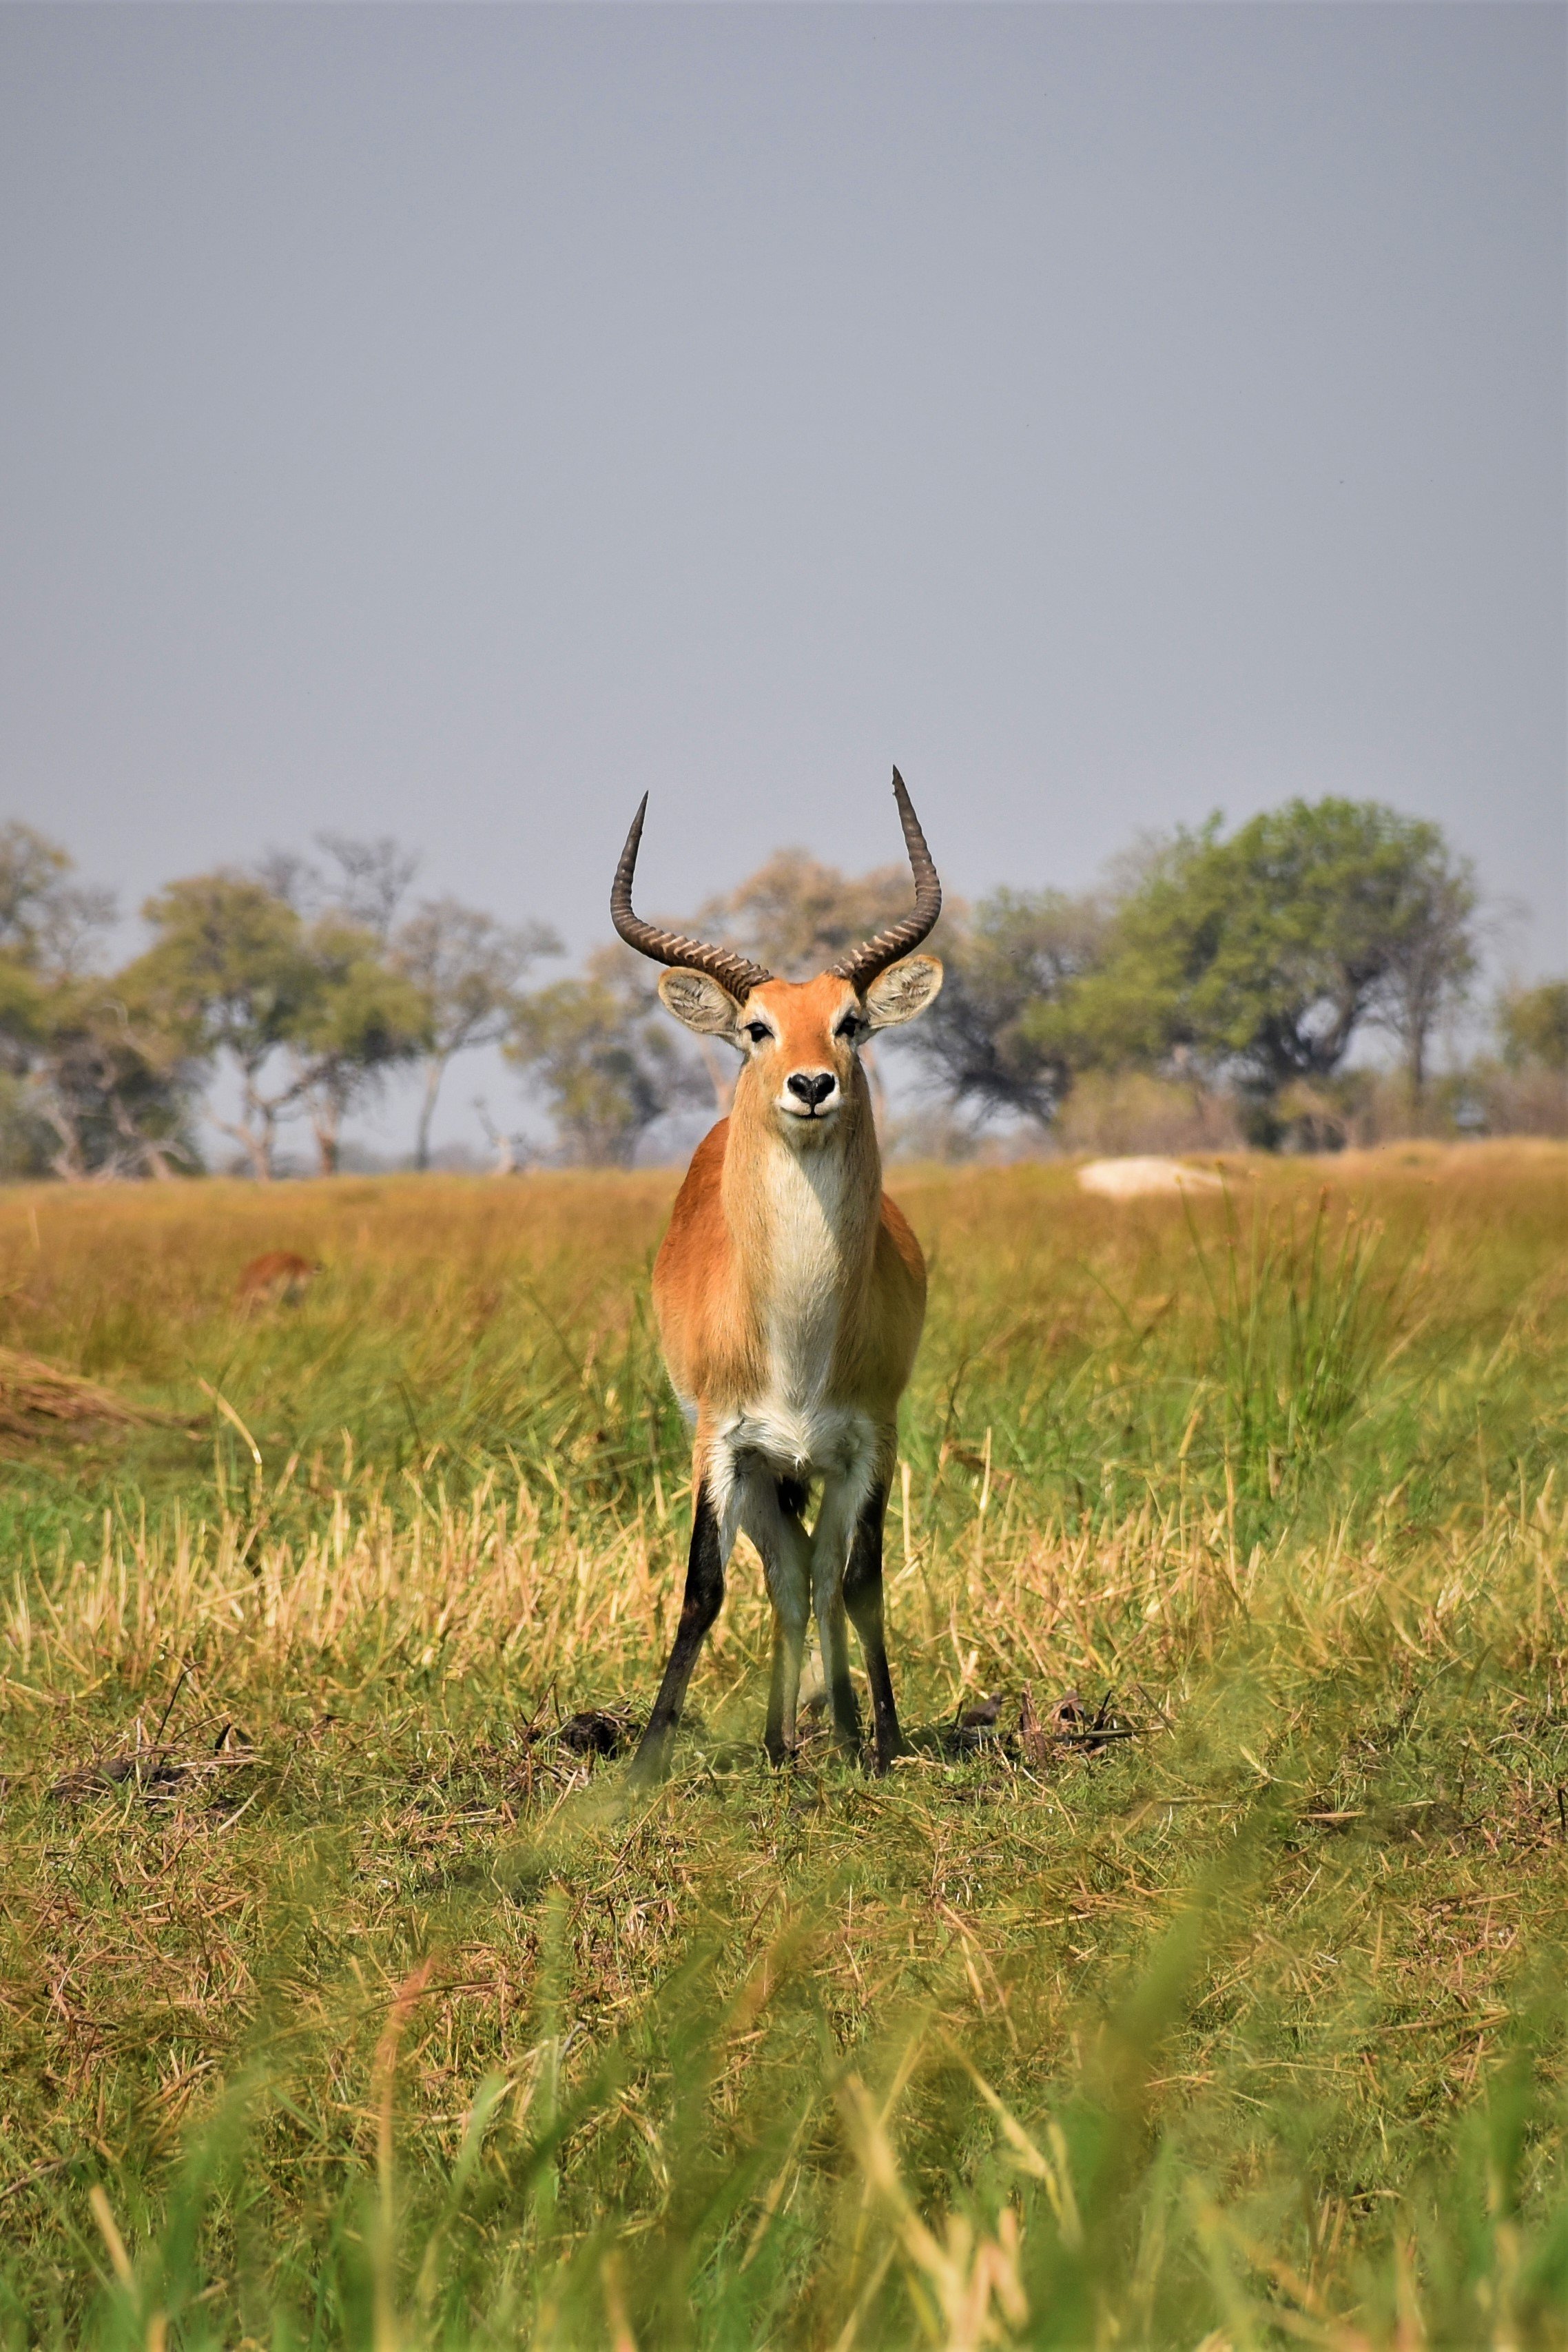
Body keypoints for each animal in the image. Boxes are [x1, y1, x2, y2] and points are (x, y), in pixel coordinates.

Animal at [612, 769, 944, 1781]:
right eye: (757, 1027)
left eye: (851, 1021)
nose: (809, 1084)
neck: (797, 1340)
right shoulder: (722, 1443)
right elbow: (702, 1587)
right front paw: (645, 1758)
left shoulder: (872, 1438)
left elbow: (864, 1581)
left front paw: (884, 1741)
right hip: (764, 1474)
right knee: (789, 1574)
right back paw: (776, 1739)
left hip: (820, 1470)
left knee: (822, 1574)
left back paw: (828, 1725)